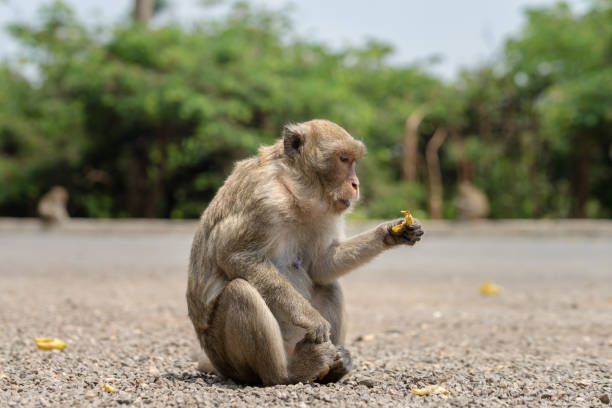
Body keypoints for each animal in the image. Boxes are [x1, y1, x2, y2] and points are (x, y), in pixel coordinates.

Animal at [186, 118, 424, 386]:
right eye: (343, 159)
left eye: (353, 160)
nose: (356, 184)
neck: (293, 189)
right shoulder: (264, 198)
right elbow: (233, 255)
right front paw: (312, 318)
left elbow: (321, 266)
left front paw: (391, 232)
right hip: (228, 358)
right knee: (241, 291)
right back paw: (290, 372)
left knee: (329, 285)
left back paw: (335, 367)